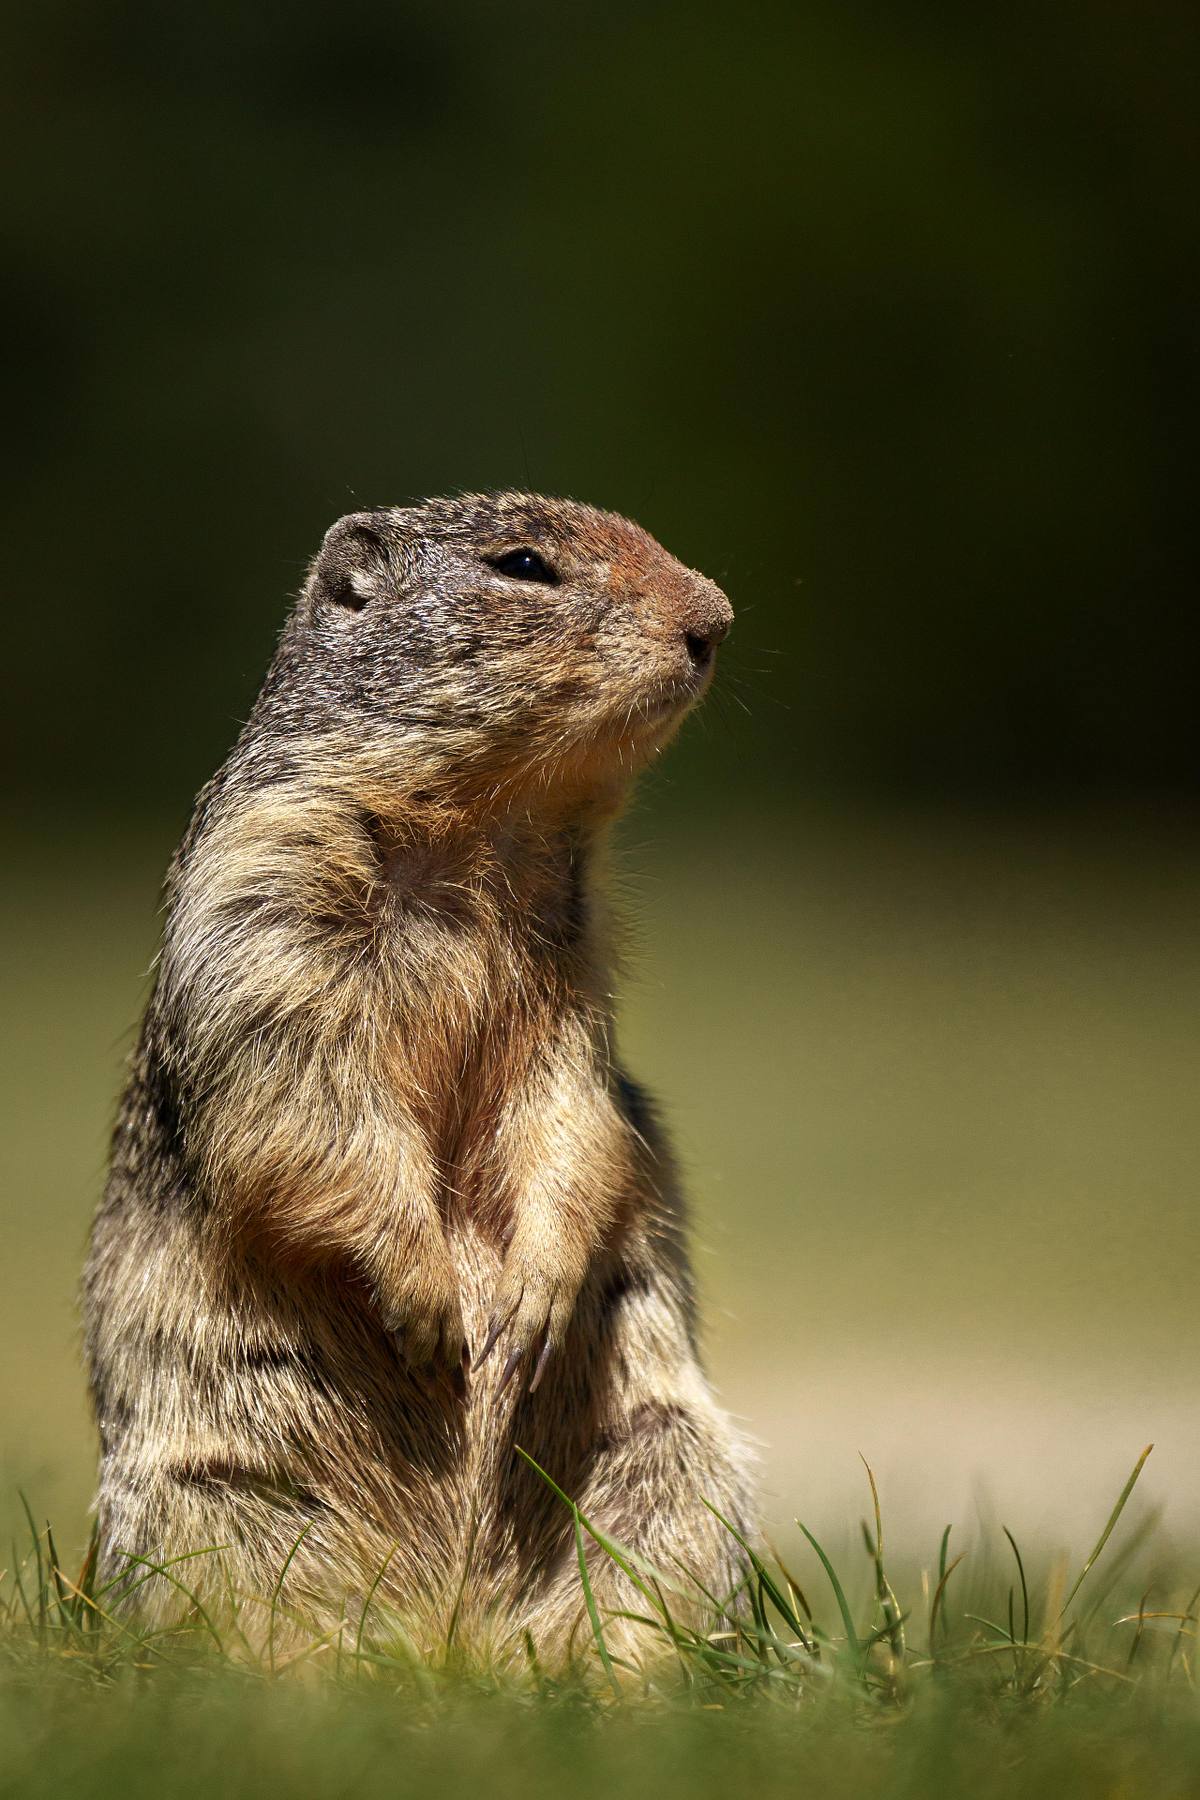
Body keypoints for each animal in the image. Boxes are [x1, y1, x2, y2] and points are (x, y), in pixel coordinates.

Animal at [83, 493, 755, 1665]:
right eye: (522, 565)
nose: (713, 618)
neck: (492, 828)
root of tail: (450, 1635)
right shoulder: (266, 901)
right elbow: (308, 1101)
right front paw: (435, 1306)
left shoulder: (574, 984)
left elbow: (572, 1113)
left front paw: (531, 1300)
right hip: (203, 1504)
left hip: (670, 1460)